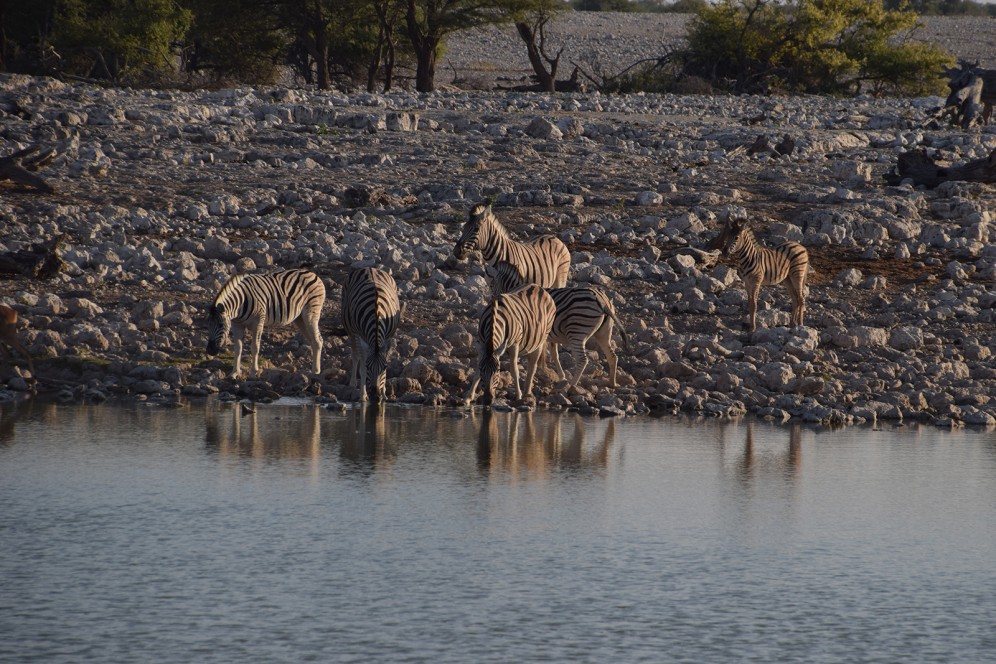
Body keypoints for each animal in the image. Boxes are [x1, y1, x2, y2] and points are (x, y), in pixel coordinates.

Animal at [342, 266, 400, 402]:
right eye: (368, 367)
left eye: (384, 367)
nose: (375, 396)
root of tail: (369, 267)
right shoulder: (360, 336)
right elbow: (362, 366)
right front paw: (363, 396)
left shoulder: (388, 337)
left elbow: (386, 358)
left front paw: (384, 394)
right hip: (351, 331)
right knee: (355, 355)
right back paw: (353, 384)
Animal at [484, 262, 632, 390]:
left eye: (491, 286)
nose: (494, 302)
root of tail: (603, 301)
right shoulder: (550, 335)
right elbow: (555, 354)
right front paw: (560, 375)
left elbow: (543, 354)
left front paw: (543, 371)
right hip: (604, 332)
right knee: (612, 356)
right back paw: (612, 383)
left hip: (576, 332)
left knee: (582, 360)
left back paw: (571, 386)